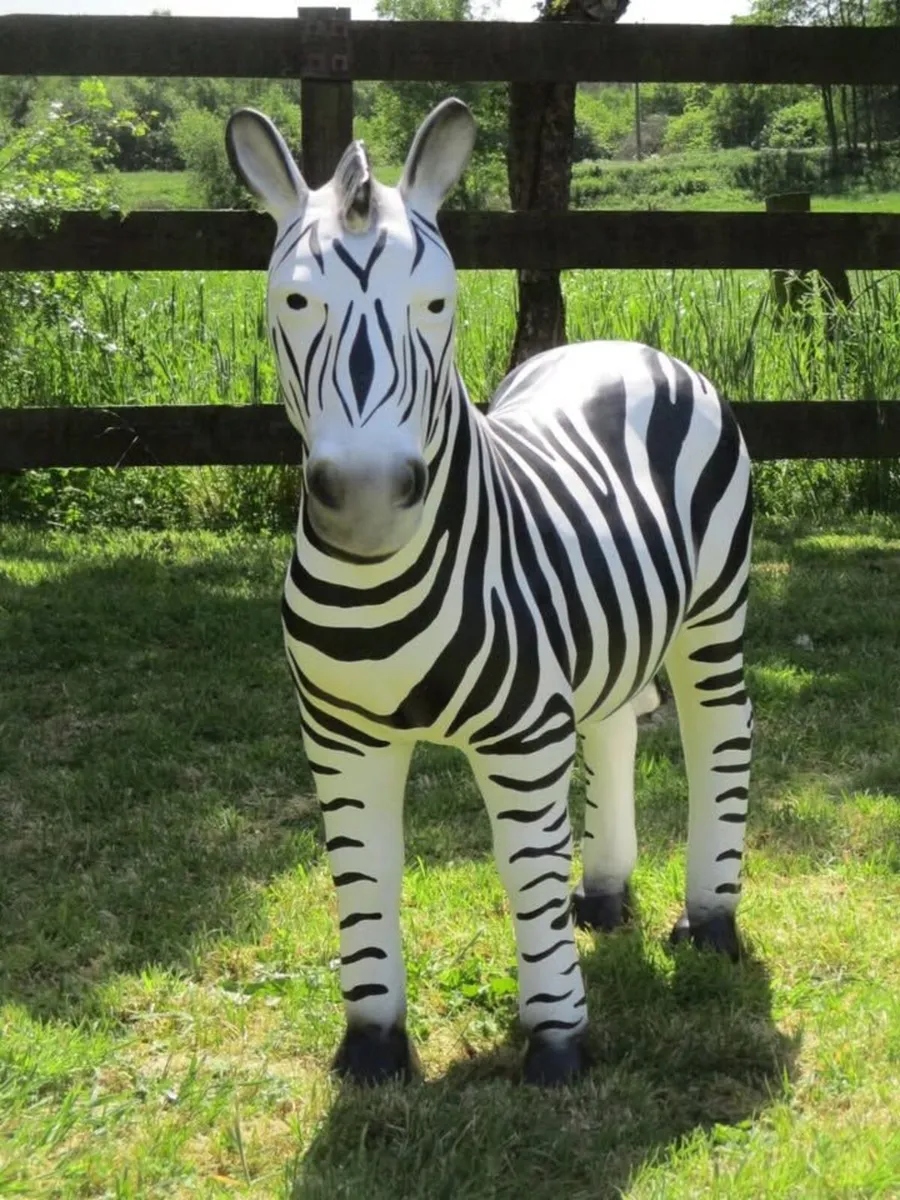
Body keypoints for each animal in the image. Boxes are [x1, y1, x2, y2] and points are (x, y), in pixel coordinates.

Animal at [226, 97, 754, 1087]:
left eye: (439, 304)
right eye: (294, 301)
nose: (366, 503)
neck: (375, 591)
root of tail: (625, 347)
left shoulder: (522, 737)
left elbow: (523, 873)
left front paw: (557, 1041)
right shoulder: (339, 736)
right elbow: (364, 876)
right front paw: (373, 1043)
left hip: (713, 612)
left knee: (722, 737)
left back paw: (710, 919)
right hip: (607, 637)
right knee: (617, 725)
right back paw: (606, 891)